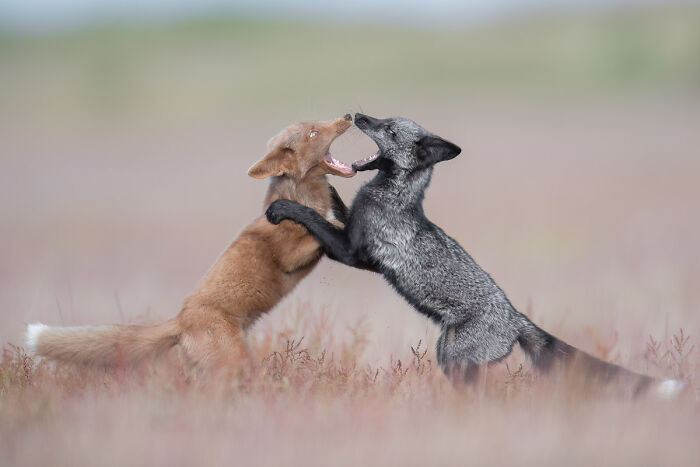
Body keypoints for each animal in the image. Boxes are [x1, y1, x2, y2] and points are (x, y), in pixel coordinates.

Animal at [26, 115, 356, 377]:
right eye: (313, 132)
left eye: (318, 123)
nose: (348, 115)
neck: (303, 197)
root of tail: (180, 320)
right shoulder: (290, 254)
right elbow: (323, 230)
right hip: (234, 364)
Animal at [266, 113, 685, 398]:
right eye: (384, 120)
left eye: (388, 130)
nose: (359, 115)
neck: (392, 197)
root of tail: (517, 318)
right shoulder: (356, 234)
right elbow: (335, 204)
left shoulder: (354, 254)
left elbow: (314, 220)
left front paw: (284, 207)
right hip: (446, 354)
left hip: (458, 362)